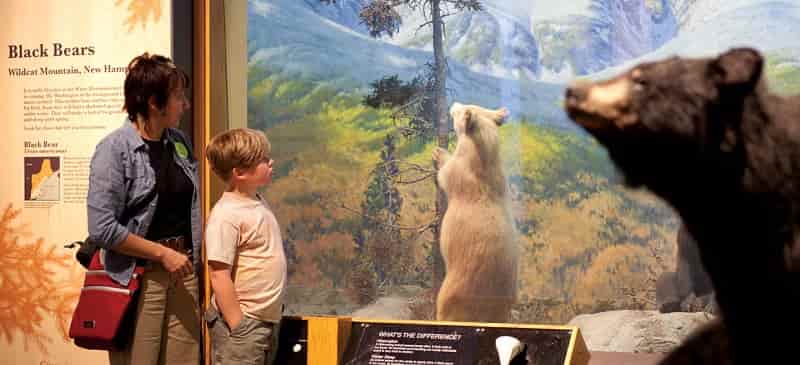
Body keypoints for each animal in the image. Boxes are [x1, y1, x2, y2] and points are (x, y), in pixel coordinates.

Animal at [432, 101, 520, 322]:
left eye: (464, 109)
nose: (454, 104)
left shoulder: (458, 170)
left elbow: (445, 174)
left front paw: (438, 152)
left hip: (447, 295)